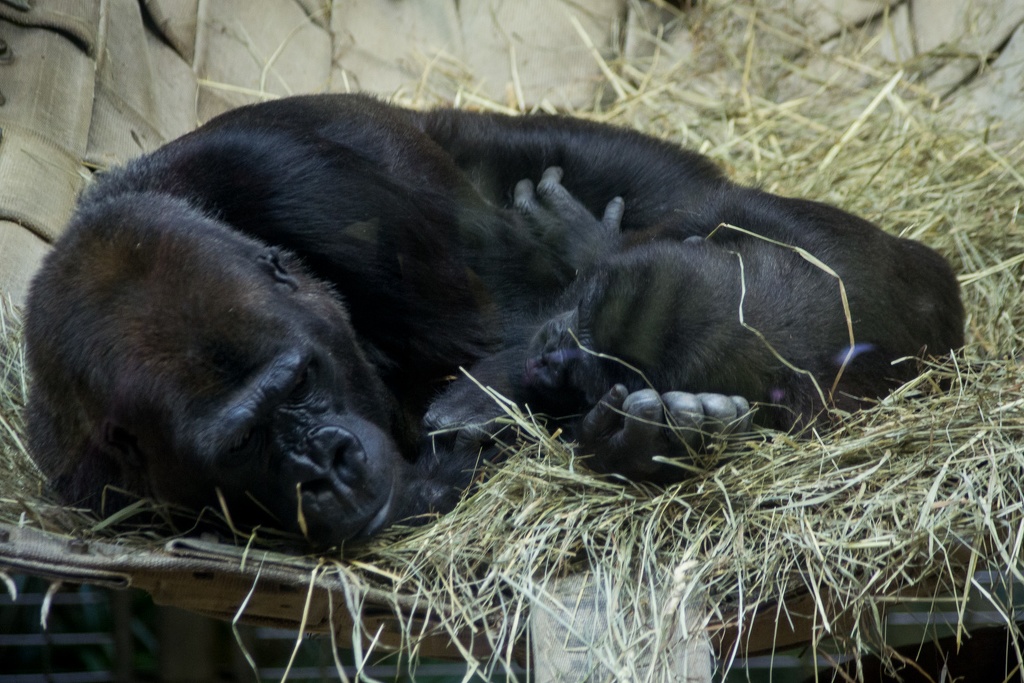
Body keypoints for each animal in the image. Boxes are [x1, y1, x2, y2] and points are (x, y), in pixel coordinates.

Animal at [25, 94, 966, 544]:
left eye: (300, 383)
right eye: (248, 439)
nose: (324, 466)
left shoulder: (300, 175)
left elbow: (522, 330)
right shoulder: (86, 484)